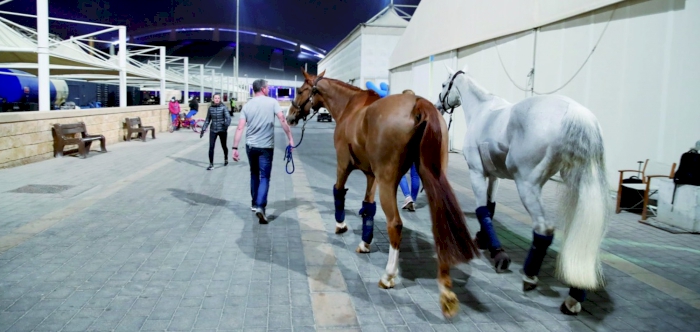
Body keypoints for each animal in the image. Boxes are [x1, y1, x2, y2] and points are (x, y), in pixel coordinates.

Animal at [288, 69, 478, 316]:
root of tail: (417, 104)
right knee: (439, 223)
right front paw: (365, 242)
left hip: (389, 181)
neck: (350, 106)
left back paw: (388, 275)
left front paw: (341, 225)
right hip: (434, 175)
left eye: (300, 90)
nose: (290, 116)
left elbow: (338, 191)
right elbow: (368, 206)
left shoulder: (343, 165)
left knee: (395, 224)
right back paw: (445, 289)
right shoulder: (372, 176)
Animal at [434, 64, 608, 314]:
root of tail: (577, 114)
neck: (482, 110)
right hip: (578, 183)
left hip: (527, 185)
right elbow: (490, 207)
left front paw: (499, 255)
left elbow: (481, 209)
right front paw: (484, 240)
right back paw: (574, 295)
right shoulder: (493, 175)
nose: (438, 105)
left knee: (544, 229)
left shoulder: (476, 172)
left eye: (443, 84)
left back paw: (530, 277)